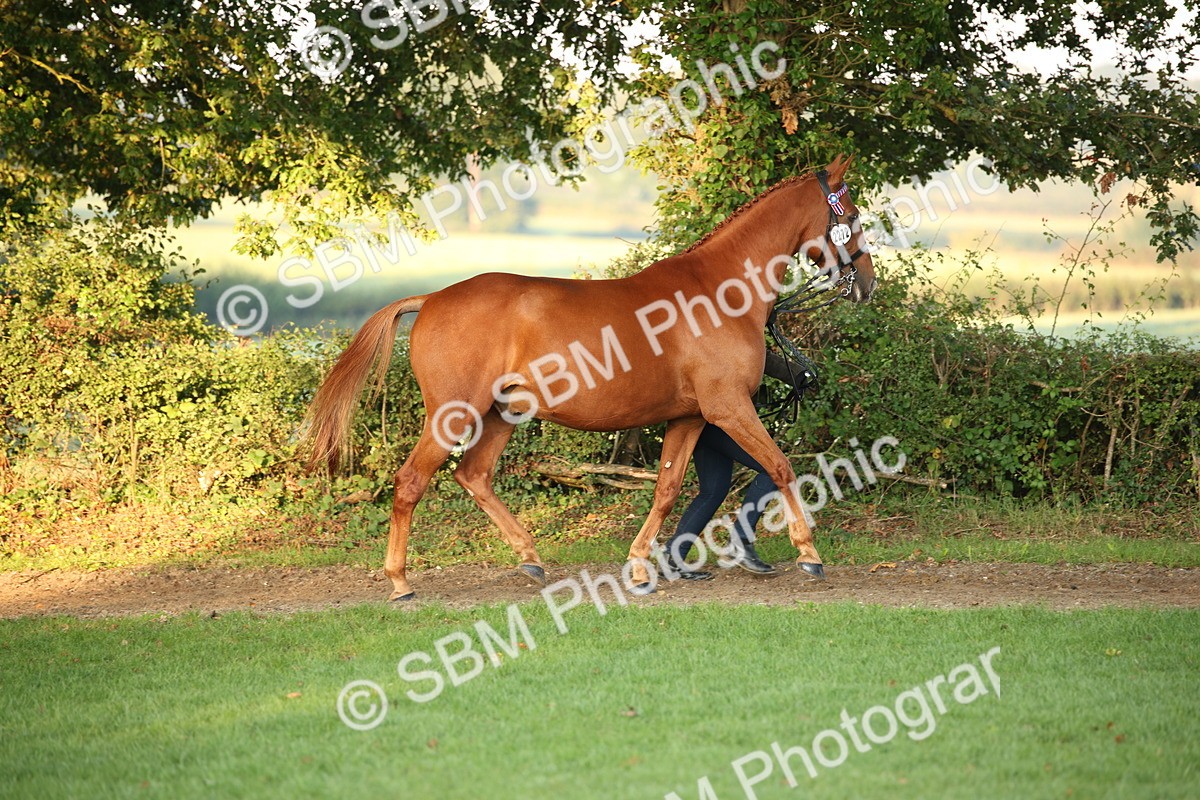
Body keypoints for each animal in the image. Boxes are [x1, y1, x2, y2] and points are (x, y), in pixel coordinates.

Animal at [304, 155, 876, 601]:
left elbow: (668, 488)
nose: (866, 283)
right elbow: (780, 467)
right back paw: (400, 581)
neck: (718, 291)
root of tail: (432, 299)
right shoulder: (728, 408)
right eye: (851, 214)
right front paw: (809, 553)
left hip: (502, 414)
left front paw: (641, 567)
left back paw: (531, 557)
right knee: (411, 482)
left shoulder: (691, 417)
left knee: (474, 475)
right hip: (453, 414)